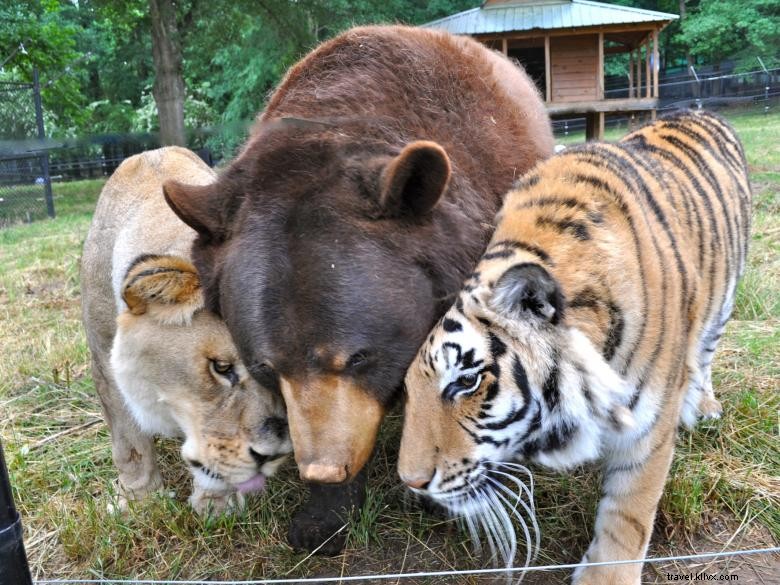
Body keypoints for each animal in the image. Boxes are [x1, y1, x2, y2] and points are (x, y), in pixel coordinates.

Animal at [400, 110, 752, 584]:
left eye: (466, 381)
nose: (411, 482)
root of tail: (700, 110)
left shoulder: (649, 427)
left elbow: (628, 513)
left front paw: (607, 577)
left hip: (724, 302)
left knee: (706, 353)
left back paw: (705, 405)